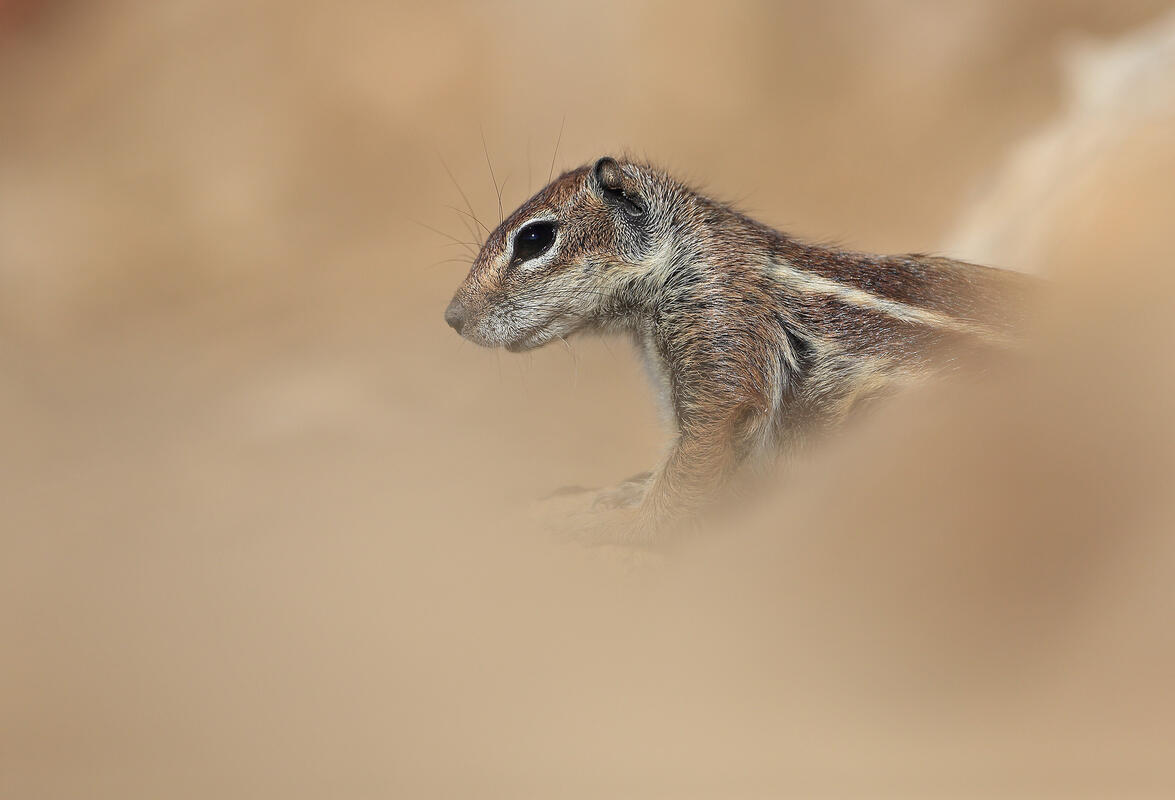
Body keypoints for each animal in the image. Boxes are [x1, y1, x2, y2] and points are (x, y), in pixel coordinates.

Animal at [444, 157, 1033, 542]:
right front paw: (611, 497)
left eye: (534, 239)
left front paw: (628, 528)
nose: (452, 317)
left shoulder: (721, 335)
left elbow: (696, 462)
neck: (689, 253)